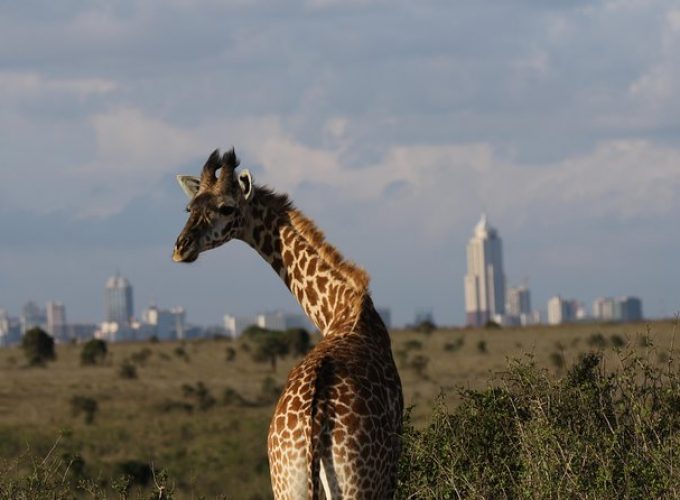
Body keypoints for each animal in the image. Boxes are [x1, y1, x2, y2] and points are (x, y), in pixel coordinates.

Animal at [173, 149, 404, 500]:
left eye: (226, 207)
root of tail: (313, 430)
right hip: (357, 483)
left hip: (287, 482)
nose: (180, 248)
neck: (341, 308)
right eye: (190, 208)